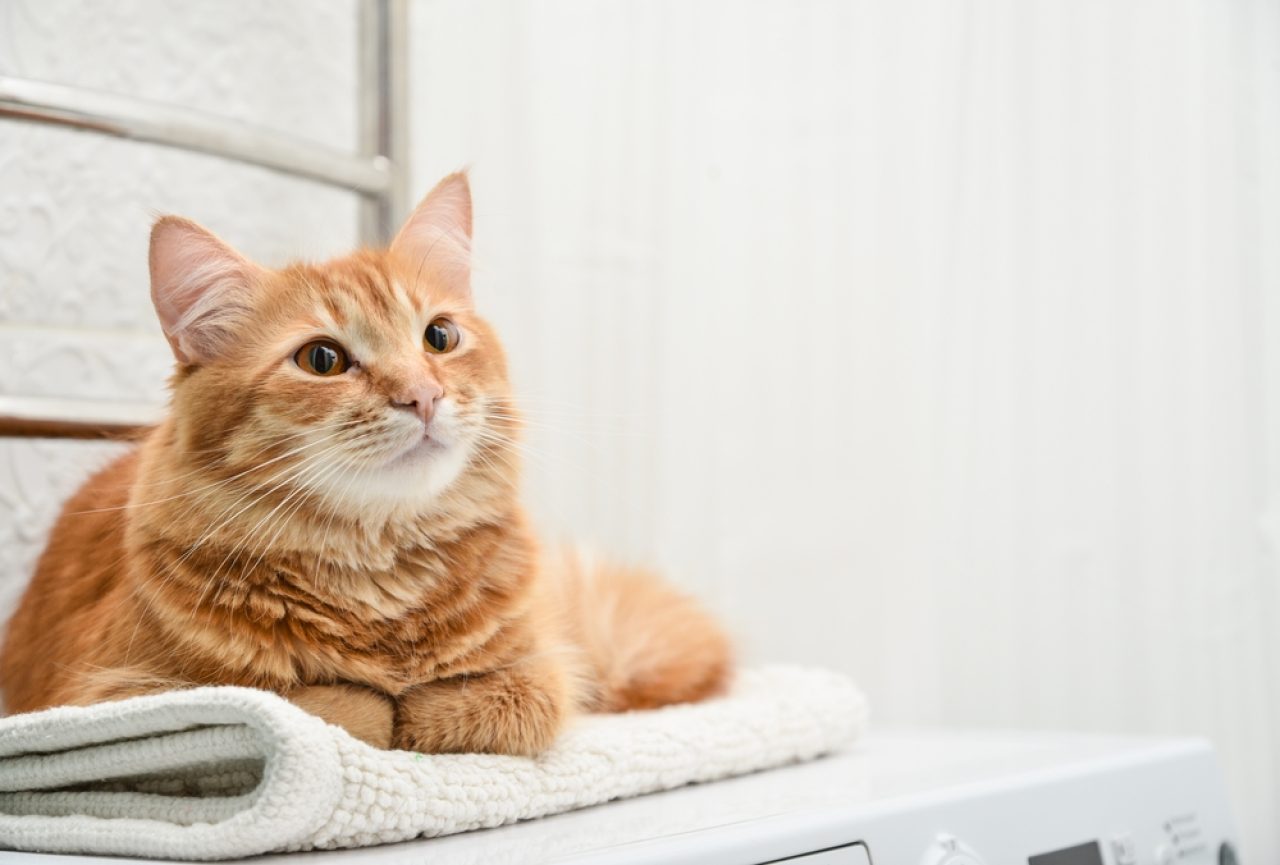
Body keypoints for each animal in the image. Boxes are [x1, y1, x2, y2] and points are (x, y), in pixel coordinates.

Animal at [0, 174, 732, 752]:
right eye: (322, 359)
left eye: (439, 336)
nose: (423, 395)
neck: (384, 575)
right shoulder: (118, 697)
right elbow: (318, 702)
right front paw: (383, 706)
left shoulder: (545, 667)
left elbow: (497, 701)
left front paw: (425, 710)